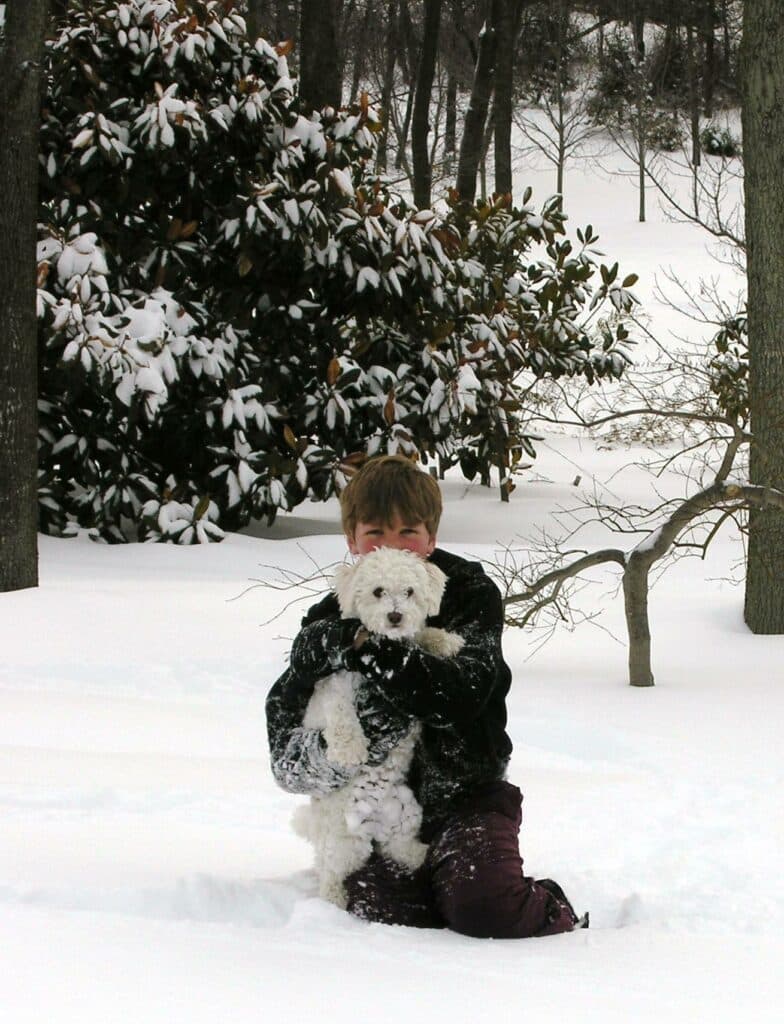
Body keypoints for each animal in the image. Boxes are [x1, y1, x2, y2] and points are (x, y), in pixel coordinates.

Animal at [294, 548, 466, 909]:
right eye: (377, 591)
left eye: (410, 591)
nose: (396, 616)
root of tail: (375, 823)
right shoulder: (336, 684)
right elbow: (342, 715)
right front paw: (350, 750)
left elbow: (422, 636)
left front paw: (445, 640)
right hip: (347, 842)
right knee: (330, 871)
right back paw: (331, 903)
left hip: (408, 815)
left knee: (399, 849)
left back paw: (425, 855)